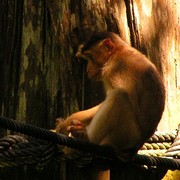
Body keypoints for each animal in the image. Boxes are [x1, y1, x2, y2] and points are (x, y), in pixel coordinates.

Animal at [55, 31, 165, 161]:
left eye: (90, 57)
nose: (88, 70)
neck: (118, 51)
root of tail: (135, 148)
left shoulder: (113, 69)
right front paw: (67, 120)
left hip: (126, 135)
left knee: (118, 96)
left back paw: (85, 138)